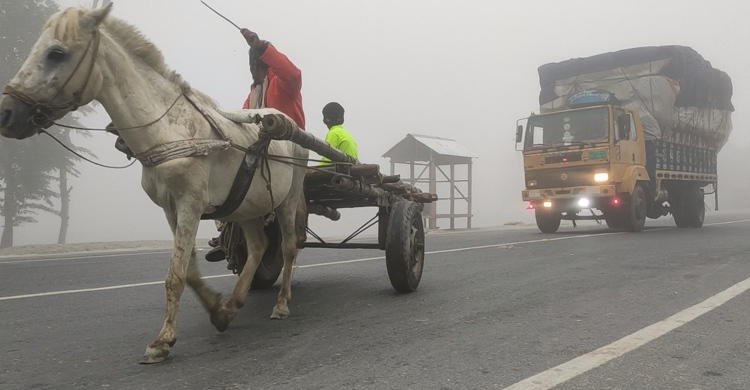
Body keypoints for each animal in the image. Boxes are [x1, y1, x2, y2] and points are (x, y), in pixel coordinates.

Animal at [0, 4, 308, 362]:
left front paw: (162, 340)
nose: (6, 114)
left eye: (56, 53)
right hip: (245, 205)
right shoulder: (170, 208)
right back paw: (234, 303)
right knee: (258, 246)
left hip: (288, 199)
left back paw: (282, 304)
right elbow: (188, 271)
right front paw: (217, 311)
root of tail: (283, 121)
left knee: (287, 247)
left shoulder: (191, 203)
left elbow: (175, 275)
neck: (168, 131)